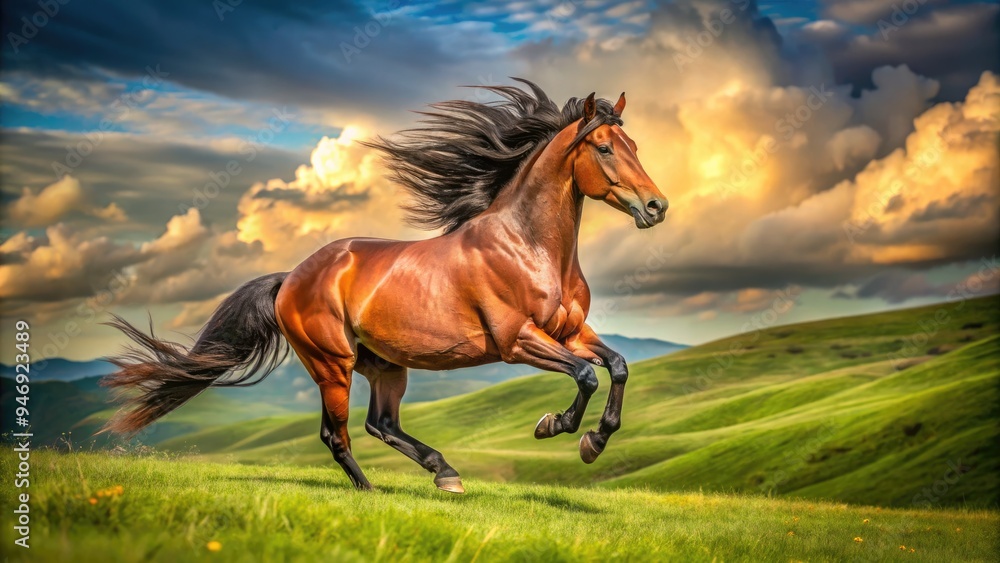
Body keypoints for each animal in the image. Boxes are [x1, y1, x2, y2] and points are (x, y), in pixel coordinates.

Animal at [101, 79, 668, 494]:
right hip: (332, 363)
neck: (528, 247)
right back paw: (370, 490)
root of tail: (291, 278)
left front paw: (595, 440)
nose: (657, 207)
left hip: (386, 365)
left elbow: (616, 366)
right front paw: (555, 426)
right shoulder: (518, 340)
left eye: (636, 146)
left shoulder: (571, 332)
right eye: (603, 148)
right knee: (338, 433)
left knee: (382, 424)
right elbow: (585, 377)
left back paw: (445, 474)